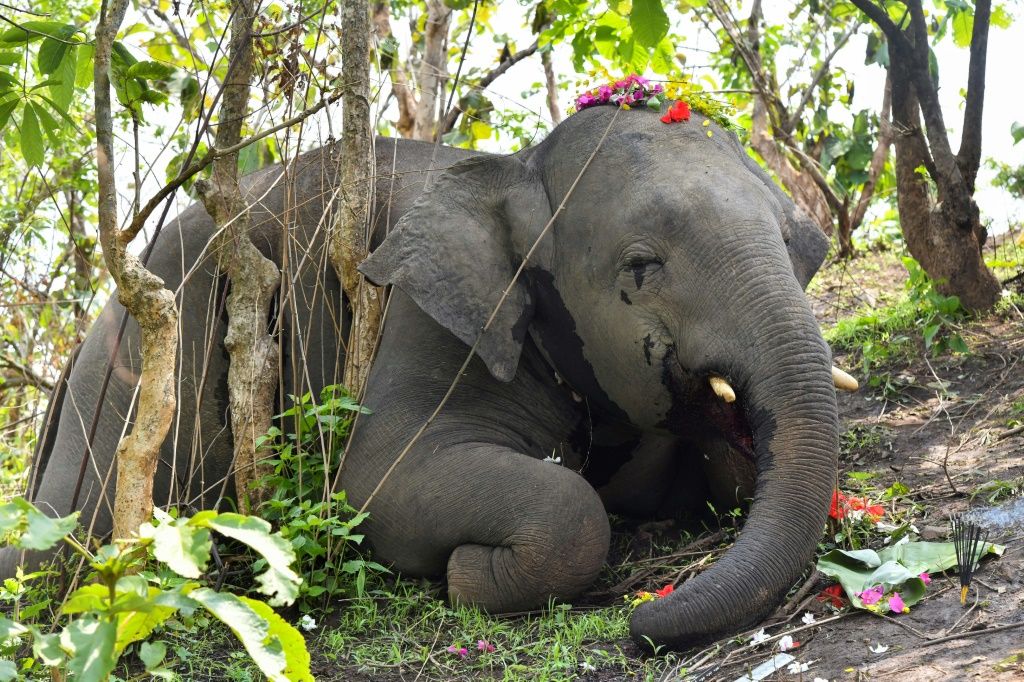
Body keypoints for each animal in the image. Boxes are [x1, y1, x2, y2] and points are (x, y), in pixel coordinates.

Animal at [2, 104, 839, 647]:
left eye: (802, 246)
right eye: (641, 267)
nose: (642, 622)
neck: (517, 167)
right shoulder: (423, 318)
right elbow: (381, 480)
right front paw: (467, 575)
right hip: (134, 369)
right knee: (63, 549)